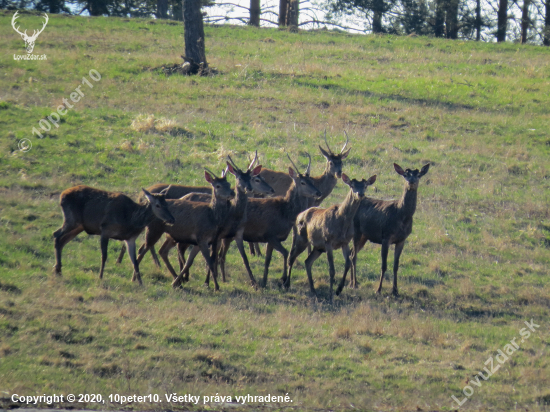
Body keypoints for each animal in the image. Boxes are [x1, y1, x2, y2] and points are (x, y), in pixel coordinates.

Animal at [284, 172, 380, 300]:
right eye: (352, 185)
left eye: (365, 185)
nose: (360, 194)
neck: (342, 222)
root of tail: (298, 215)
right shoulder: (328, 241)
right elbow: (332, 269)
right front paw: (331, 293)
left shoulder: (345, 242)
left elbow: (348, 263)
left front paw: (339, 289)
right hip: (301, 238)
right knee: (292, 257)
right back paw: (287, 284)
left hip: (318, 247)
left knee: (307, 261)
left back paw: (313, 290)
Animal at [338, 163, 434, 296]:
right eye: (405, 174)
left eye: (418, 175)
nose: (411, 181)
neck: (402, 216)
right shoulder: (386, 236)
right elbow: (384, 265)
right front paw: (378, 289)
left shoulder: (402, 240)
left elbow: (396, 266)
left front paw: (395, 290)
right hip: (356, 231)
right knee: (354, 256)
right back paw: (354, 283)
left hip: (365, 236)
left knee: (352, 253)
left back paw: (353, 282)